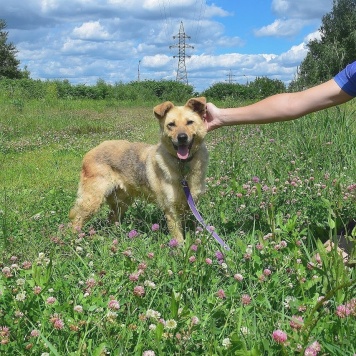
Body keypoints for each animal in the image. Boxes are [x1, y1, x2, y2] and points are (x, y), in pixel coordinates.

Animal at [69, 96, 209, 242]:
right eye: (171, 124)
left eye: (190, 122)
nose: (182, 137)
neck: (183, 164)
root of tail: (90, 151)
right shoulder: (171, 210)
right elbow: (178, 238)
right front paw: (180, 248)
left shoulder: (189, 206)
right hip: (92, 201)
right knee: (76, 219)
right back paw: (73, 239)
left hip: (122, 203)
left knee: (111, 219)